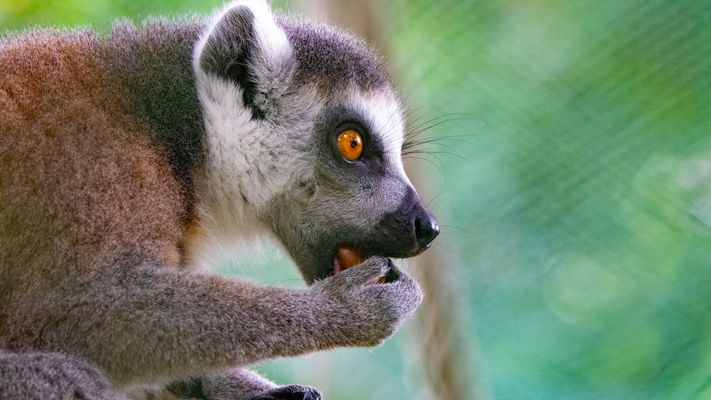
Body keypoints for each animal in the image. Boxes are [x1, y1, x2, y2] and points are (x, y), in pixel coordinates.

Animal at [0, 1, 440, 399]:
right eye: (352, 143)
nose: (426, 226)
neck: (167, 133)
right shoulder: (89, 163)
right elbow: (75, 310)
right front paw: (344, 310)